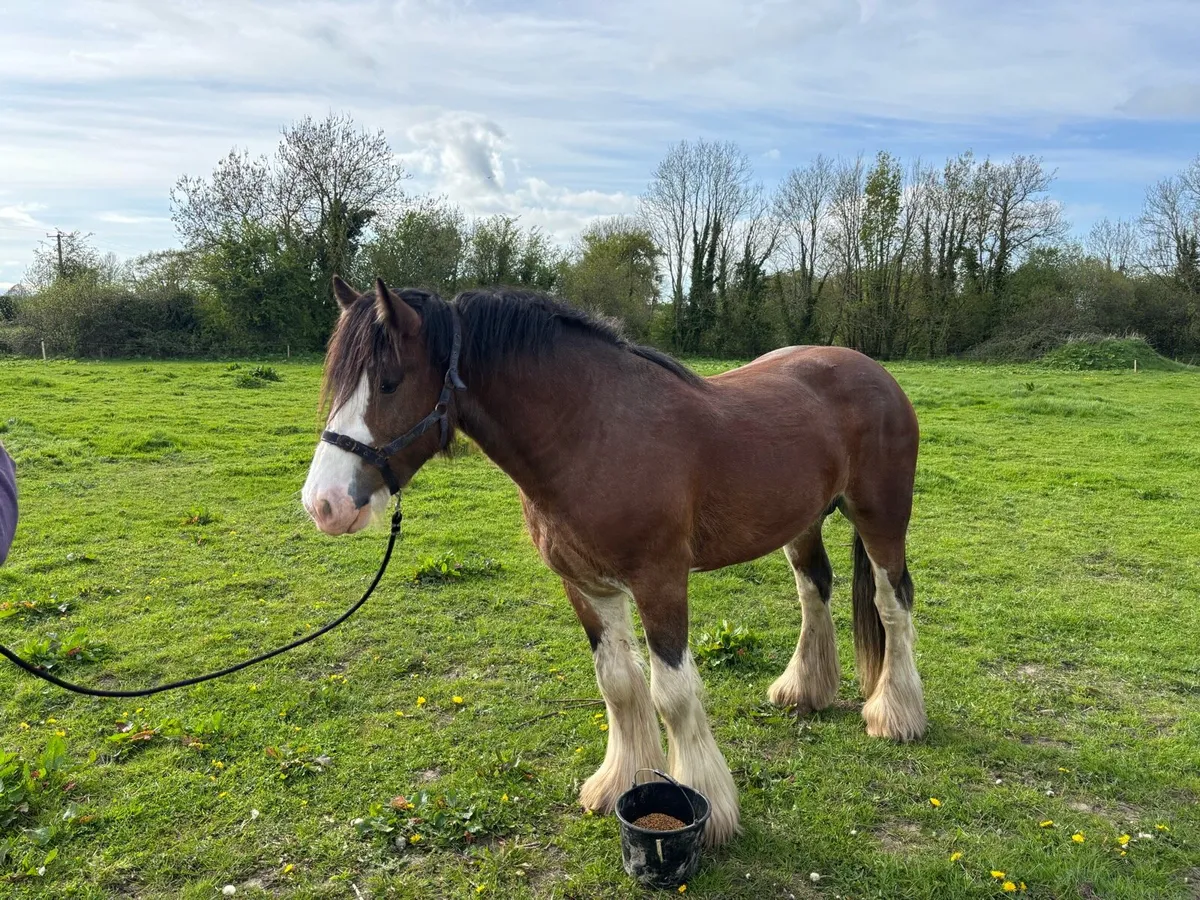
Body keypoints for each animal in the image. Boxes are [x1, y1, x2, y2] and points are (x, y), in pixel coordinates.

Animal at [301, 277, 925, 847]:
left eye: (389, 382)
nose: (323, 504)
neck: (592, 435)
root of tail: (874, 372)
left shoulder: (660, 582)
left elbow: (673, 694)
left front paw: (709, 810)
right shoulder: (586, 586)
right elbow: (619, 685)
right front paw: (620, 782)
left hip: (881, 518)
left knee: (892, 604)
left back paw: (895, 715)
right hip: (802, 523)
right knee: (814, 588)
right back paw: (805, 690)